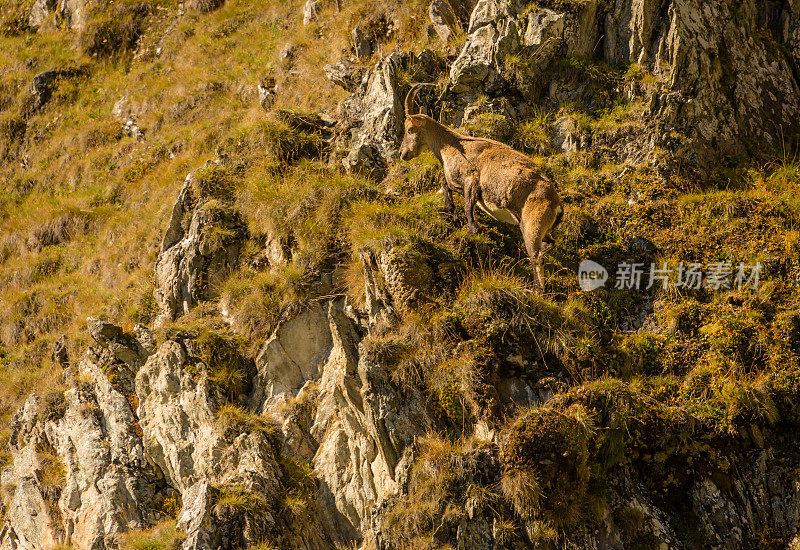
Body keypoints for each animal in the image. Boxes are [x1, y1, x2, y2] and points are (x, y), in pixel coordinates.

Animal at [398, 84, 564, 292]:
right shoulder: (461, 184)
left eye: (410, 129)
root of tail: (556, 204)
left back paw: (536, 290)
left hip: (532, 226)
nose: (402, 153)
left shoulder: (471, 181)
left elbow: (467, 207)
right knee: (548, 245)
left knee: (535, 257)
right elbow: (446, 185)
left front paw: (470, 230)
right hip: (541, 228)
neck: (451, 145)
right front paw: (449, 207)